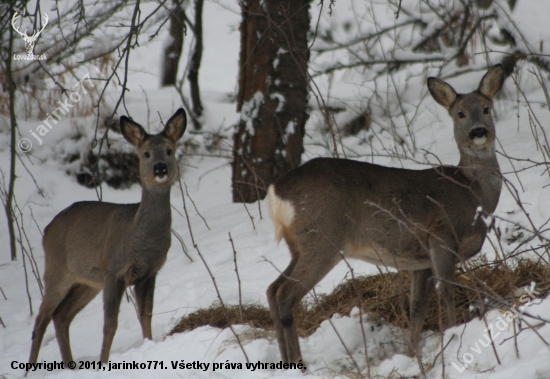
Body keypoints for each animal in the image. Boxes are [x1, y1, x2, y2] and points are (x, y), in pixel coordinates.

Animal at [28, 107, 188, 366]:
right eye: (146, 153)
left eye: (169, 150)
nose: (160, 168)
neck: (139, 237)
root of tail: (47, 230)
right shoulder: (114, 269)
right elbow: (109, 325)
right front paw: (103, 363)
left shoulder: (149, 272)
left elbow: (146, 315)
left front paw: (149, 344)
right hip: (57, 269)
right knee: (42, 318)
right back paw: (29, 368)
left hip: (86, 281)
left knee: (61, 316)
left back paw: (70, 366)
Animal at [268, 66, 508, 366]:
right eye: (460, 113)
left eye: (487, 108)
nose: (478, 132)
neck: (474, 193)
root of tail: (276, 191)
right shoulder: (441, 236)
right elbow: (447, 291)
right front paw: (453, 335)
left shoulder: (420, 261)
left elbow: (418, 307)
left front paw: (411, 354)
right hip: (322, 240)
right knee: (285, 294)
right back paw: (297, 363)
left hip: (299, 246)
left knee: (272, 289)